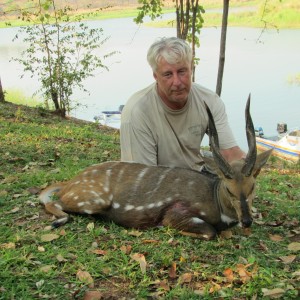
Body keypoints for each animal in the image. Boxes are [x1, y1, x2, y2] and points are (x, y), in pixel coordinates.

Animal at [39, 95, 272, 240]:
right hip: (94, 200)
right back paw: (58, 221)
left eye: (253, 187)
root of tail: (69, 183)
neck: (215, 202)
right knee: (54, 202)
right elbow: (209, 232)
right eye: (228, 188)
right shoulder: (178, 213)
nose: (247, 221)